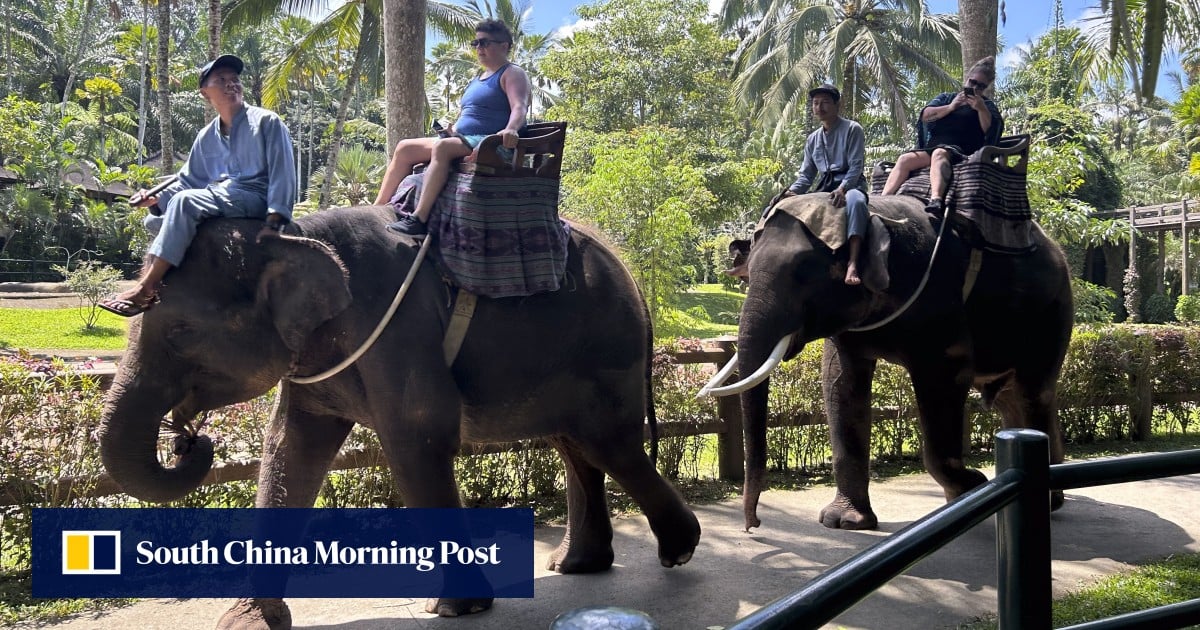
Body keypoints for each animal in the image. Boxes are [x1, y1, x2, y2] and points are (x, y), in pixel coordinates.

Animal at [97, 206, 701, 627]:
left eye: (180, 332)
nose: (189, 441)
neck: (293, 233)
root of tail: (633, 276)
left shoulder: (399, 333)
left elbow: (416, 439)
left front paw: (454, 610)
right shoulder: (316, 362)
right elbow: (288, 449)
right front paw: (246, 622)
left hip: (607, 349)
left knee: (605, 441)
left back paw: (679, 551)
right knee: (574, 443)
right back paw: (577, 566)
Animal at [709, 194, 1072, 531]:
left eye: (803, 273)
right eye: (746, 274)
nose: (753, 524)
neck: (876, 215)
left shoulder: (941, 307)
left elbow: (943, 380)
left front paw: (973, 487)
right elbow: (839, 381)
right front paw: (845, 522)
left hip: (1052, 312)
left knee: (1032, 391)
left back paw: (1045, 497)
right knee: (1013, 399)